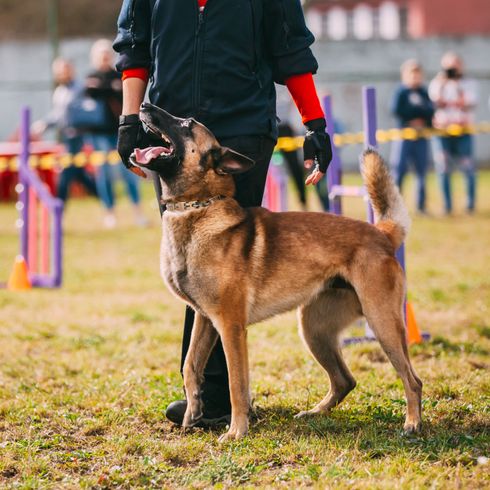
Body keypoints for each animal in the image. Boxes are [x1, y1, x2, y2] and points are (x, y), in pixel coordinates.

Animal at [132, 101, 424, 442]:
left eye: (188, 123)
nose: (144, 105)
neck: (198, 207)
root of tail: (382, 234)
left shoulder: (231, 327)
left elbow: (236, 384)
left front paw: (236, 431)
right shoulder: (205, 320)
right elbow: (191, 366)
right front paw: (193, 414)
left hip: (382, 324)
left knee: (412, 380)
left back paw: (412, 423)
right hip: (314, 330)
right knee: (345, 380)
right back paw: (314, 413)